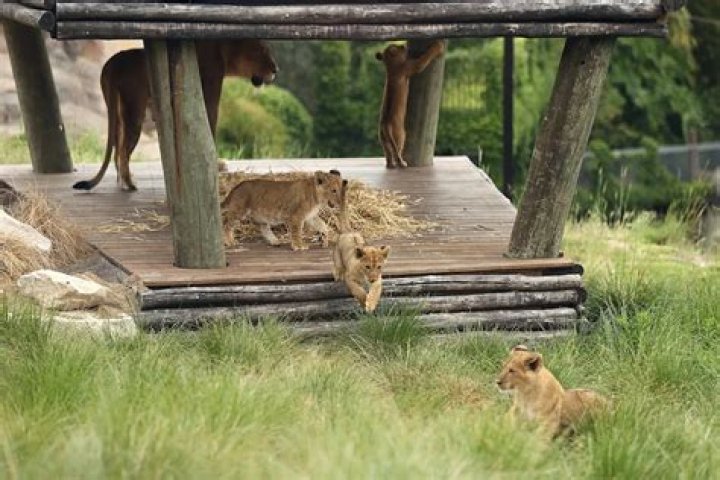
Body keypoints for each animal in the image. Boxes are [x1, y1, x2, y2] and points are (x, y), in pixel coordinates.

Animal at [73, 40, 277, 192]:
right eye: (263, 50)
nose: (276, 70)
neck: (225, 51)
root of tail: (113, 63)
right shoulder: (210, 92)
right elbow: (210, 126)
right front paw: (216, 164)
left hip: (117, 113)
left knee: (117, 148)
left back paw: (125, 181)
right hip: (134, 111)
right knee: (123, 150)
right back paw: (129, 184)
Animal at [331, 180, 390, 312]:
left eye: (379, 267)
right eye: (367, 266)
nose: (372, 279)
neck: (364, 276)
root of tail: (348, 231)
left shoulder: (378, 280)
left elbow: (375, 292)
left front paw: (371, 304)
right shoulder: (350, 278)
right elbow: (359, 292)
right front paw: (365, 303)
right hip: (338, 259)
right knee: (338, 268)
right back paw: (337, 275)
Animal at [375, 40, 444, 168]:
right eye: (400, 48)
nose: (404, 45)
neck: (391, 67)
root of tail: (386, 125)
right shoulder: (412, 66)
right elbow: (425, 57)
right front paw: (437, 46)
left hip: (384, 142)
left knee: (389, 155)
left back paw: (391, 165)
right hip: (401, 136)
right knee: (397, 152)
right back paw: (402, 163)